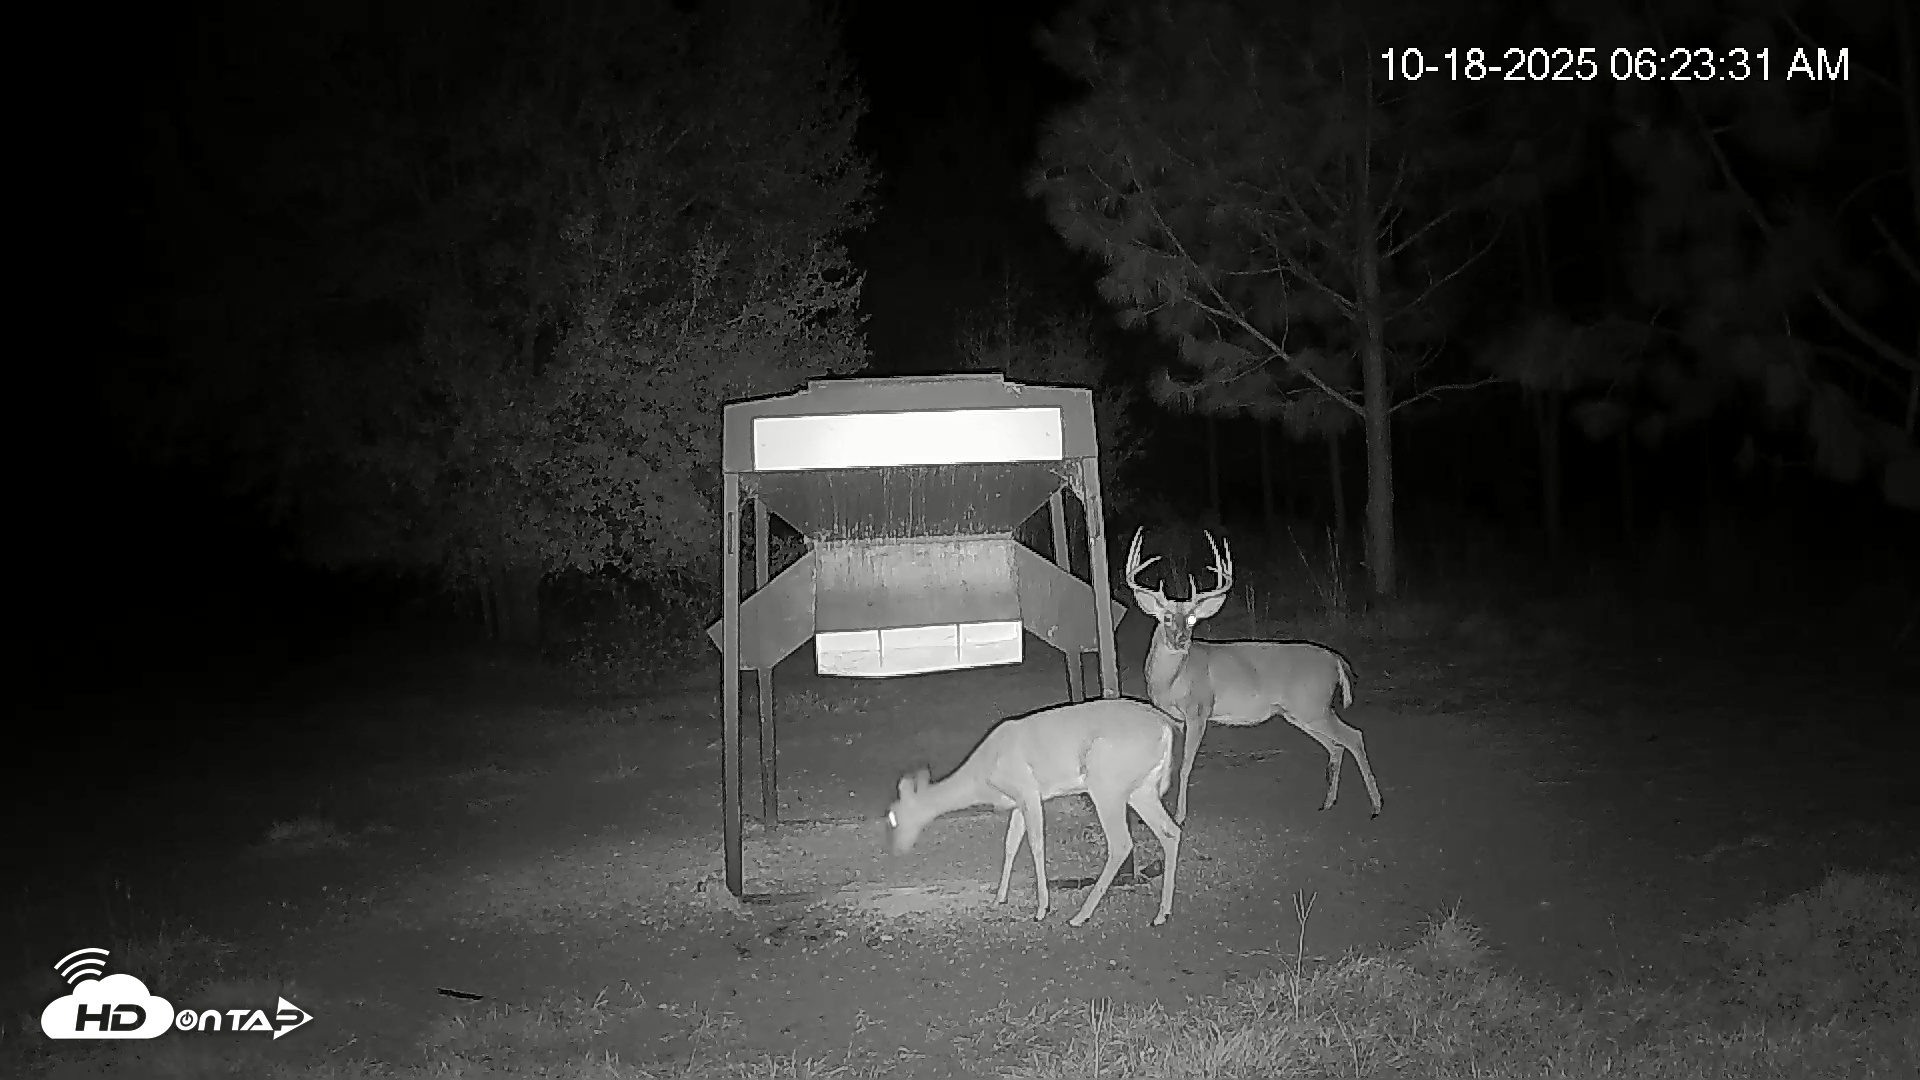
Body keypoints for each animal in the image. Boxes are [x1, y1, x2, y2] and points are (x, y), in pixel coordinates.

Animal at [886, 697, 1182, 927]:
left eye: (893, 817)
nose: (897, 850)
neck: (981, 772)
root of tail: (1166, 727)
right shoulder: (1018, 802)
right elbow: (1010, 844)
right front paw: (999, 897)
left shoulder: (1028, 790)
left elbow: (1036, 844)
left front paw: (1042, 909)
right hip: (1141, 788)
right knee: (1171, 832)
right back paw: (1162, 914)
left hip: (1106, 782)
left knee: (1121, 842)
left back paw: (1080, 916)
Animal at [1125, 527, 1384, 825]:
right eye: (1166, 617)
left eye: (1192, 619)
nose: (1181, 640)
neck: (1172, 680)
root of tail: (1336, 659)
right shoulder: (1175, 718)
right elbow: (1170, 761)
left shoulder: (1199, 710)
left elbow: (1186, 764)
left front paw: (1179, 816)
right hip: (1300, 713)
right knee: (1336, 746)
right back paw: (1328, 803)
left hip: (1313, 705)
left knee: (1354, 737)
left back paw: (1376, 806)